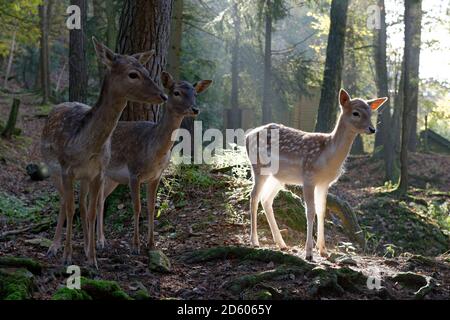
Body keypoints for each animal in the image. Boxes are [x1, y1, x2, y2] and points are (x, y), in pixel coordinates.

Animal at [41, 38, 168, 268]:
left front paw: (92, 259)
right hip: (51, 167)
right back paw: (54, 247)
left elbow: (91, 210)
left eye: (146, 70)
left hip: (84, 177)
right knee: (64, 202)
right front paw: (67, 256)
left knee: (82, 205)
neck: (84, 146)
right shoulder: (66, 169)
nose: (163, 95)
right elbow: (70, 208)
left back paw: (83, 246)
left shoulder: (98, 173)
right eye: (133, 74)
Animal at [89, 71, 214, 254]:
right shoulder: (134, 173)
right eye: (176, 92)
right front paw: (135, 246)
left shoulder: (156, 176)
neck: (153, 151)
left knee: (101, 199)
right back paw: (98, 242)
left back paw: (102, 240)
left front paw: (152, 244)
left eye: (195, 94)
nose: (195, 109)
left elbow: (151, 207)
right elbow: (137, 207)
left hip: (112, 178)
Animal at [246, 89, 386, 262]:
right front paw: (309, 253)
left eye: (371, 112)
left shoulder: (325, 183)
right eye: (356, 113)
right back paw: (254, 241)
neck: (327, 158)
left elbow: (322, 211)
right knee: (254, 196)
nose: (372, 129)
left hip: (278, 178)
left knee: (266, 199)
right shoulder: (308, 177)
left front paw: (324, 251)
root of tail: (247, 136)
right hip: (258, 167)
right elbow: (310, 211)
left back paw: (282, 244)